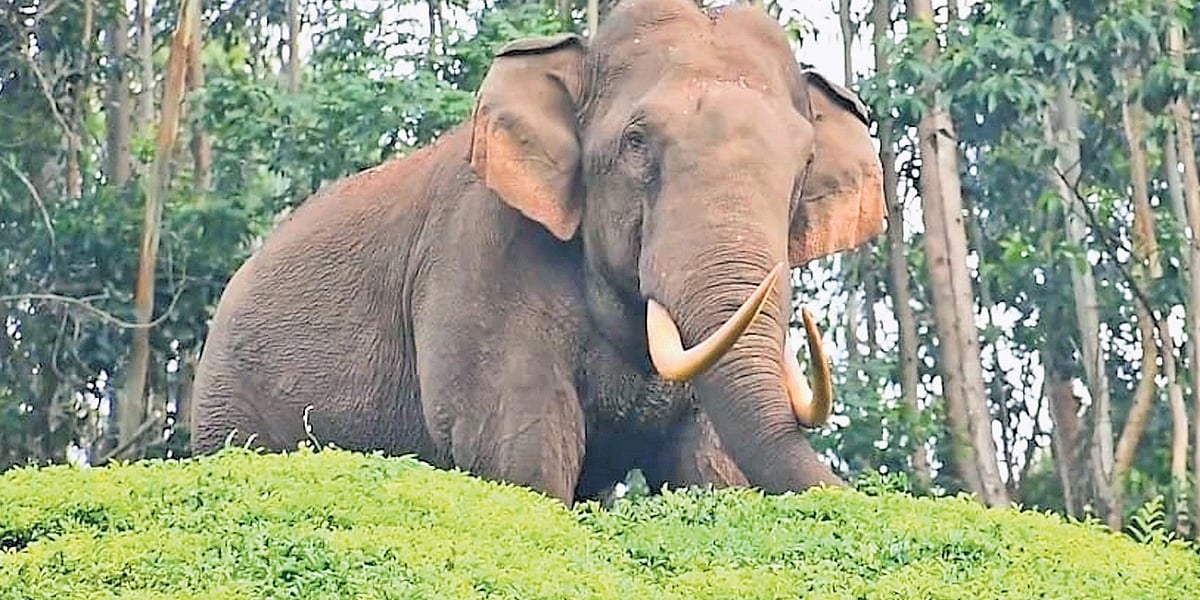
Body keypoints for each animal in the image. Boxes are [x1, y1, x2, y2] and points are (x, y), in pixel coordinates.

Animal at [190, 0, 887, 504]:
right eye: (636, 143)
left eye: (803, 167)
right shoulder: (479, 257)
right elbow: (521, 449)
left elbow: (709, 462)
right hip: (230, 406)